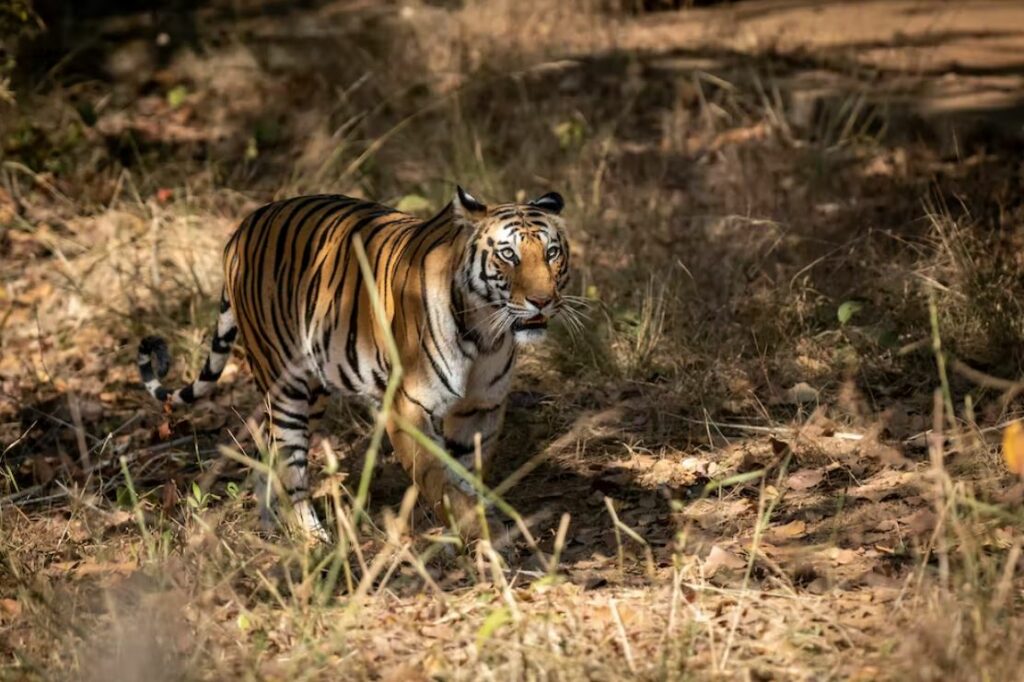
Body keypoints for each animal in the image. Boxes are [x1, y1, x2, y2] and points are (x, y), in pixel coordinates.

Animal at [137, 183, 573, 540]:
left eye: (551, 253)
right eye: (508, 255)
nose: (542, 301)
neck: (486, 333)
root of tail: (243, 227)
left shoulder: (479, 410)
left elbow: (466, 475)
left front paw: (482, 527)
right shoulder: (409, 408)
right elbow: (440, 479)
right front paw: (478, 532)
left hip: (314, 389)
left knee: (269, 453)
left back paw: (272, 530)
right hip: (285, 384)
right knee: (291, 465)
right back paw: (313, 539)